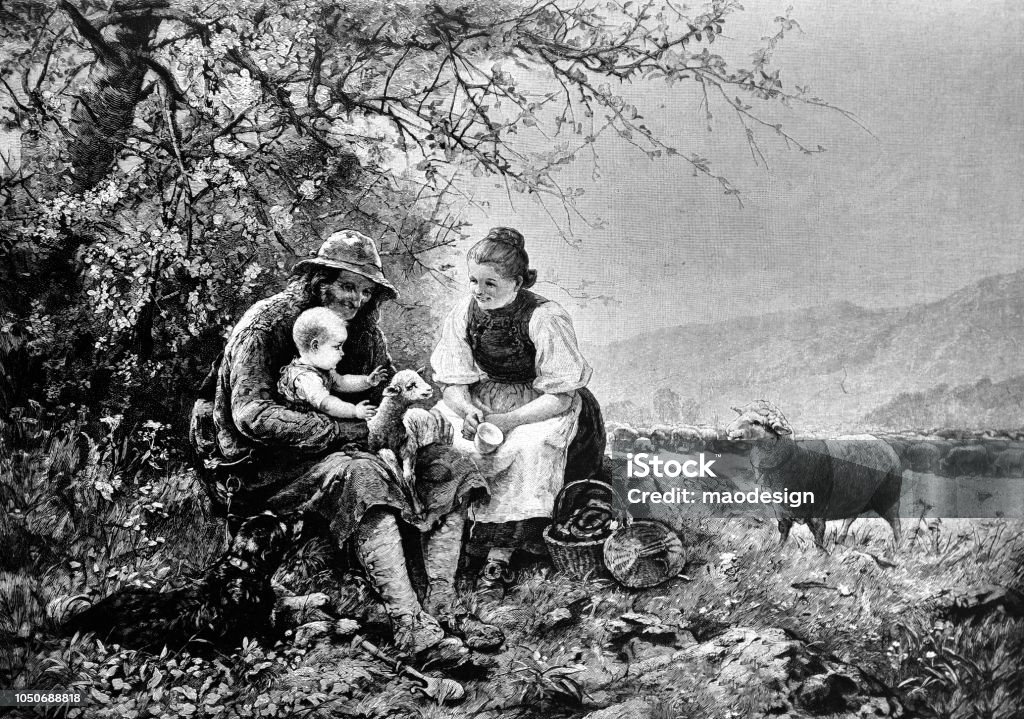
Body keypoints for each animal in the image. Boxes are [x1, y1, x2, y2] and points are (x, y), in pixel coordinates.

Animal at [366, 372, 434, 518]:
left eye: (420, 378)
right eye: (410, 386)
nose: (429, 389)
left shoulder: (410, 448)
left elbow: (409, 476)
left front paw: (419, 509)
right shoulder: (375, 448)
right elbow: (390, 457)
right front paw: (399, 477)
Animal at [724, 403, 901, 548]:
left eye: (756, 422)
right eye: (740, 415)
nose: (728, 430)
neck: (795, 457)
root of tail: (887, 447)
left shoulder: (818, 511)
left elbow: (818, 537)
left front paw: (821, 556)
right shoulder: (780, 510)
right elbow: (783, 532)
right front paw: (777, 550)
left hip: (889, 499)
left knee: (896, 525)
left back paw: (899, 549)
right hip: (856, 499)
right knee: (850, 519)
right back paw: (840, 541)